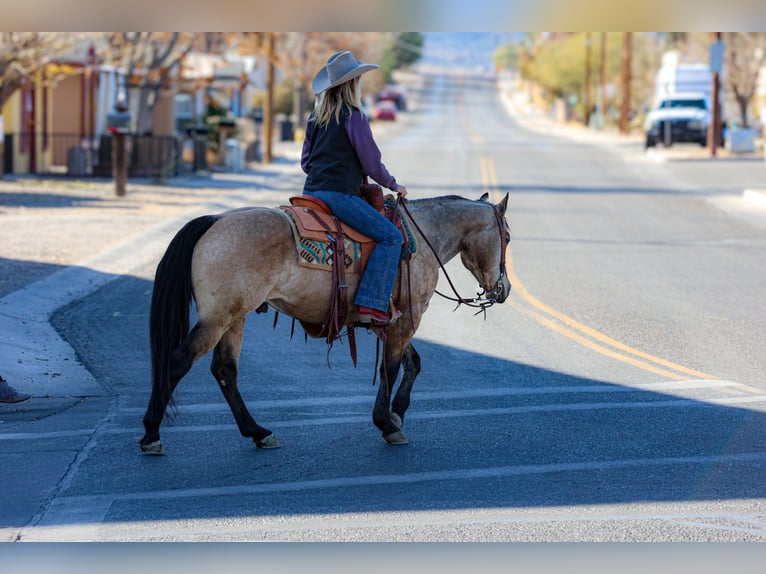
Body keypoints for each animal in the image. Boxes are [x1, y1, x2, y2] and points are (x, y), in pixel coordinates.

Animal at [140, 192, 510, 454]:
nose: (503, 289)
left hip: (235, 317)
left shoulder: (391, 319)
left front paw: (396, 413)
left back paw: (258, 432)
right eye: (506, 236)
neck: (423, 234)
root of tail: (214, 220)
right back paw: (151, 433)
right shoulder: (410, 314)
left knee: (225, 370)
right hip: (218, 318)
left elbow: (412, 362)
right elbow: (391, 367)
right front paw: (387, 423)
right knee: (179, 361)